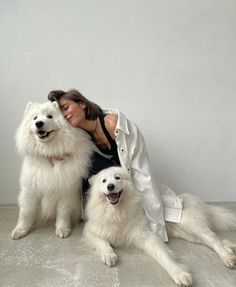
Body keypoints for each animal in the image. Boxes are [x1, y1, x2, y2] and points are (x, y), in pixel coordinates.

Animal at [11, 101, 94, 241]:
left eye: (49, 116)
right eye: (35, 118)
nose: (39, 123)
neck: (49, 152)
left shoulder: (66, 190)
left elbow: (63, 212)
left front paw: (62, 229)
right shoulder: (30, 189)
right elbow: (26, 212)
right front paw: (20, 230)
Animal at [83, 168, 236, 286]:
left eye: (117, 178)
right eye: (104, 181)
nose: (110, 186)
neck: (116, 212)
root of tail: (184, 197)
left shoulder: (146, 236)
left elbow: (163, 256)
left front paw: (179, 273)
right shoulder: (90, 231)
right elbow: (102, 242)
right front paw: (109, 255)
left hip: (191, 225)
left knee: (212, 239)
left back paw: (227, 257)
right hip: (184, 233)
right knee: (210, 240)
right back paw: (230, 248)